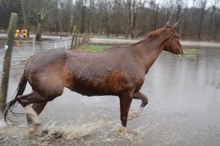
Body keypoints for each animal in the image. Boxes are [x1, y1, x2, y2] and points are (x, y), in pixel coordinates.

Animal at [3, 22, 184, 136]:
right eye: (177, 37)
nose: (182, 51)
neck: (136, 57)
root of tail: (31, 60)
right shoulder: (126, 95)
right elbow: (123, 118)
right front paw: (123, 132)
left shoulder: (133, 92)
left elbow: (145, 100)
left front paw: (134, 116)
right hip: (49, 93)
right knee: (22, 100)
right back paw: (37, 126)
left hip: (44, 95)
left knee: (30, 112)